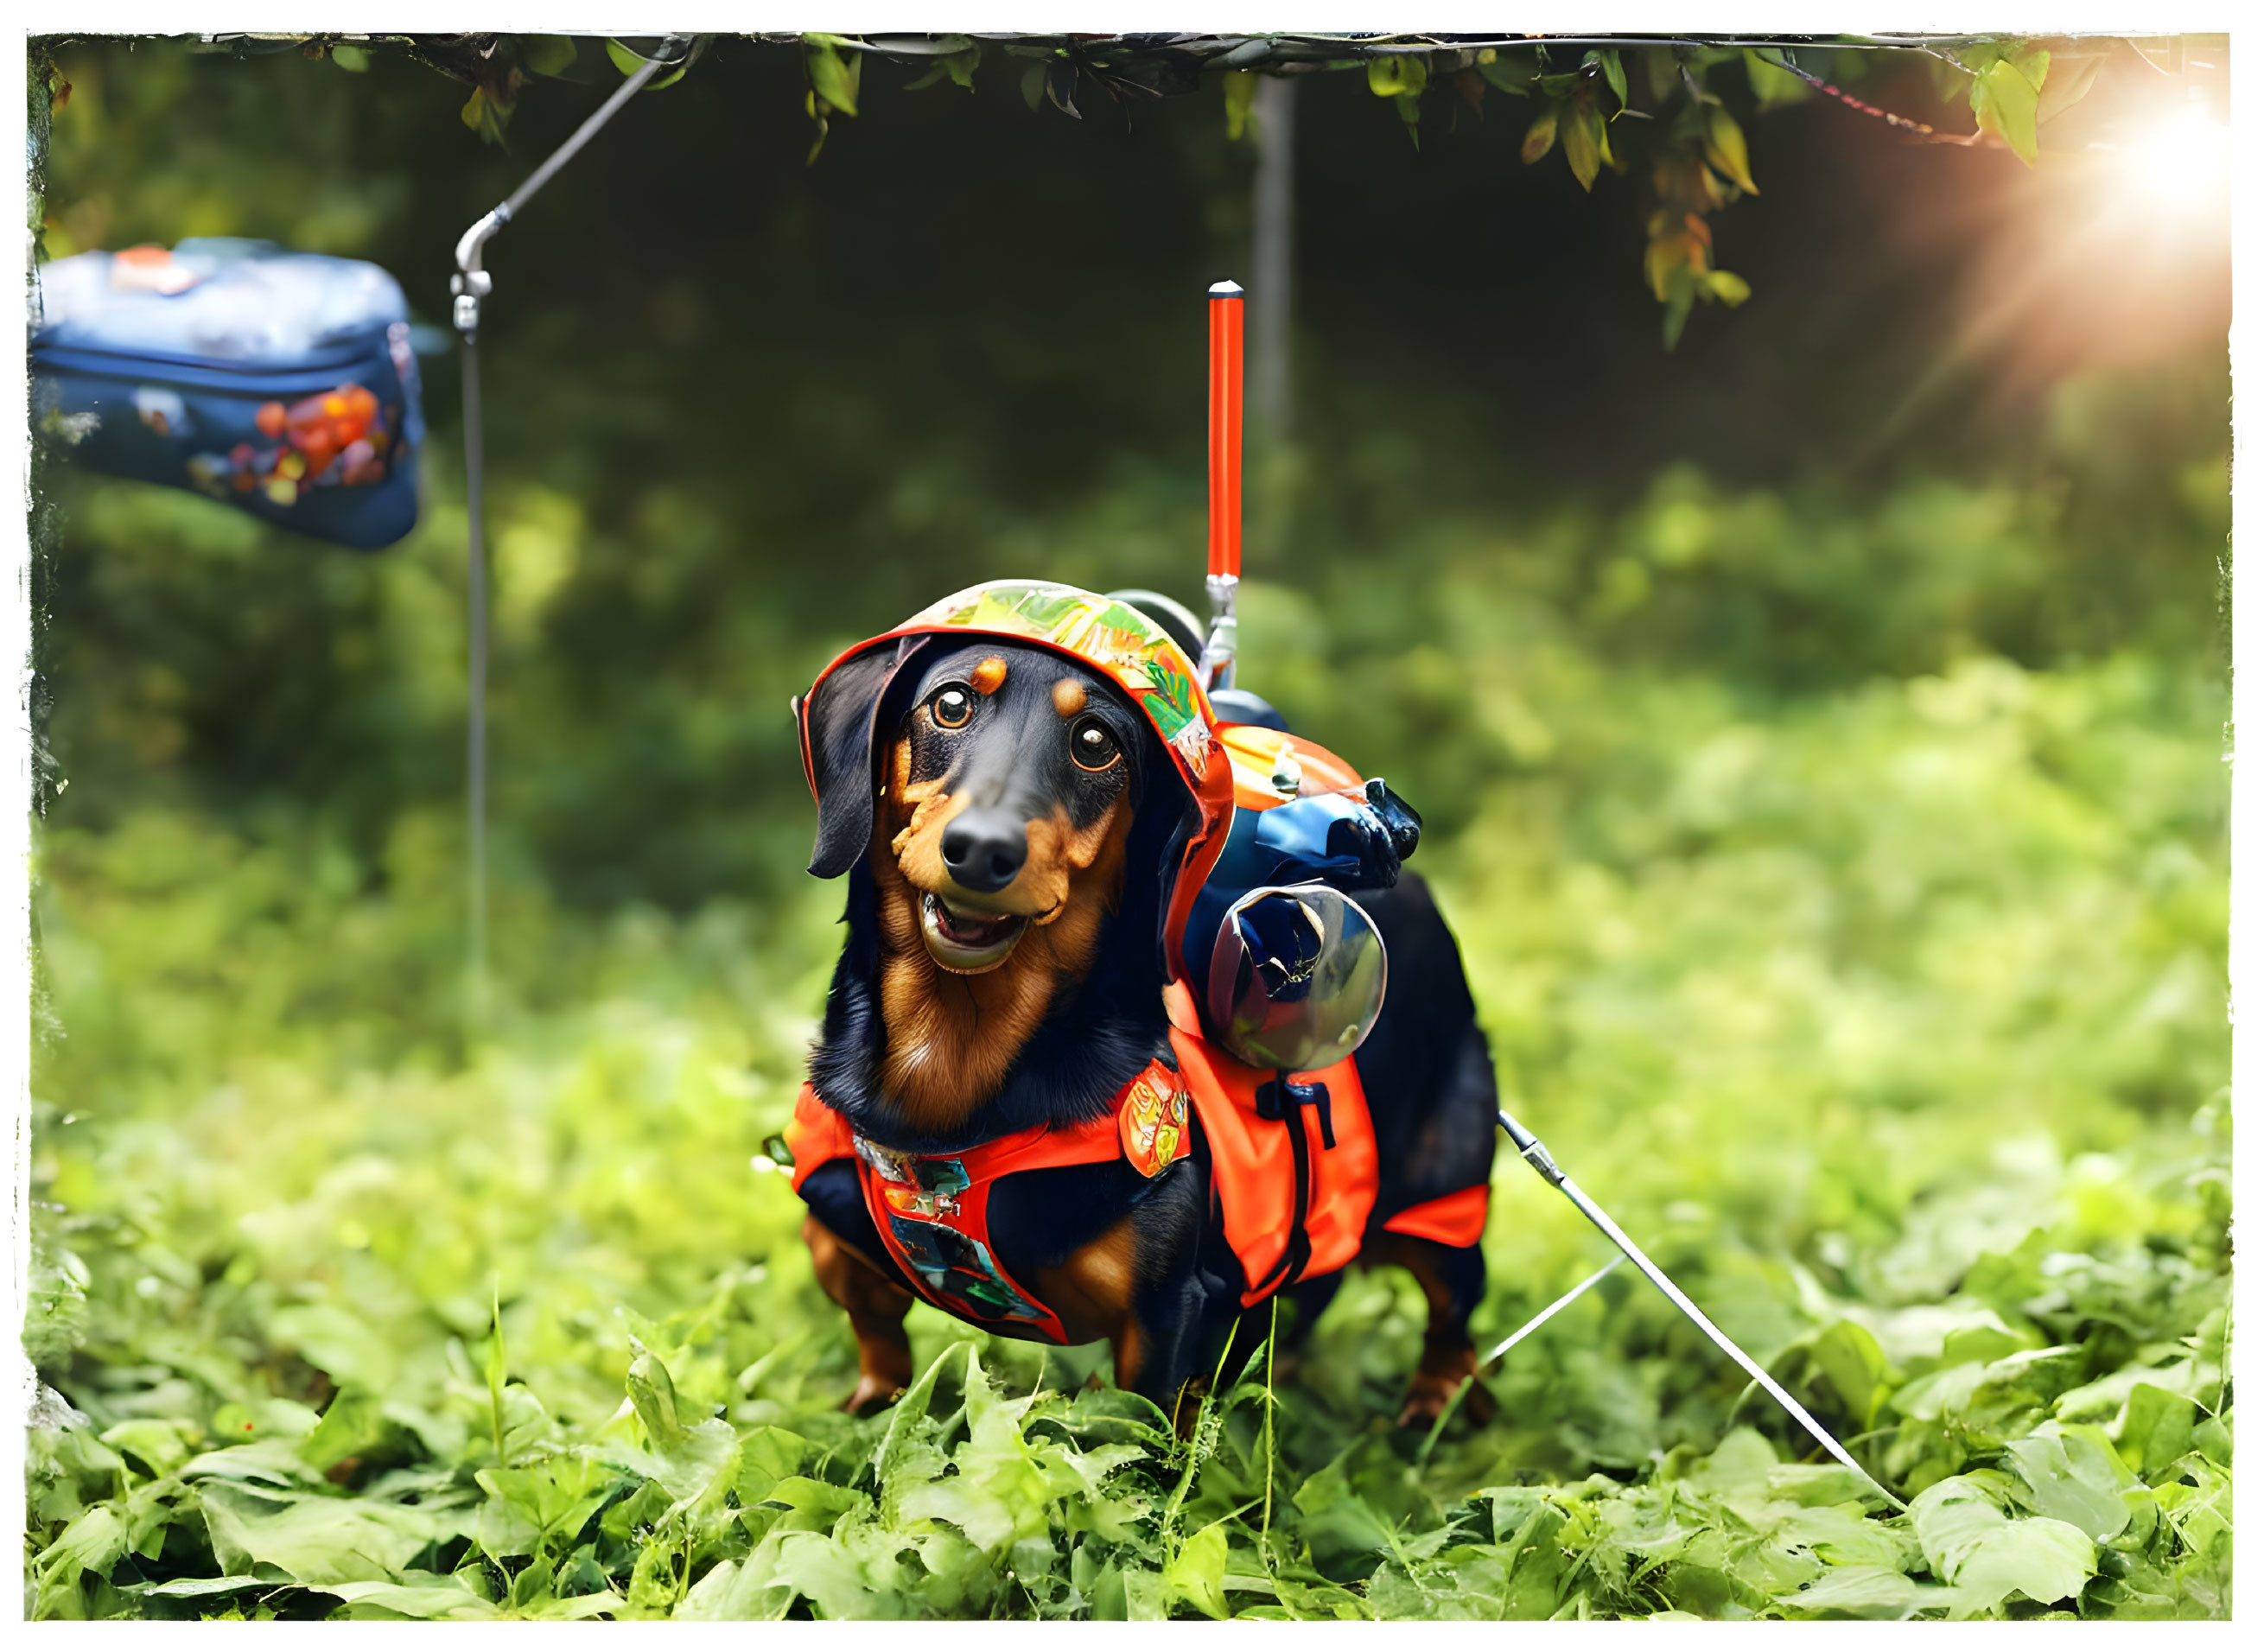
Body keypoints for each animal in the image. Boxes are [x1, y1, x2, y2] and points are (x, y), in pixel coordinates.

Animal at [779, 583, 1503, 1420]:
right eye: (950, 703)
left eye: (1096, 743)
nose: (983, 850)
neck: (955, 1070)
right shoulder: (834, 1234)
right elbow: (877, 1338)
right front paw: (871, 1415)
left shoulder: (1170, 1313)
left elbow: (1150, 1429)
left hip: (1446, 1191)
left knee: (1454, 1303)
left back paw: (1438, 1402)